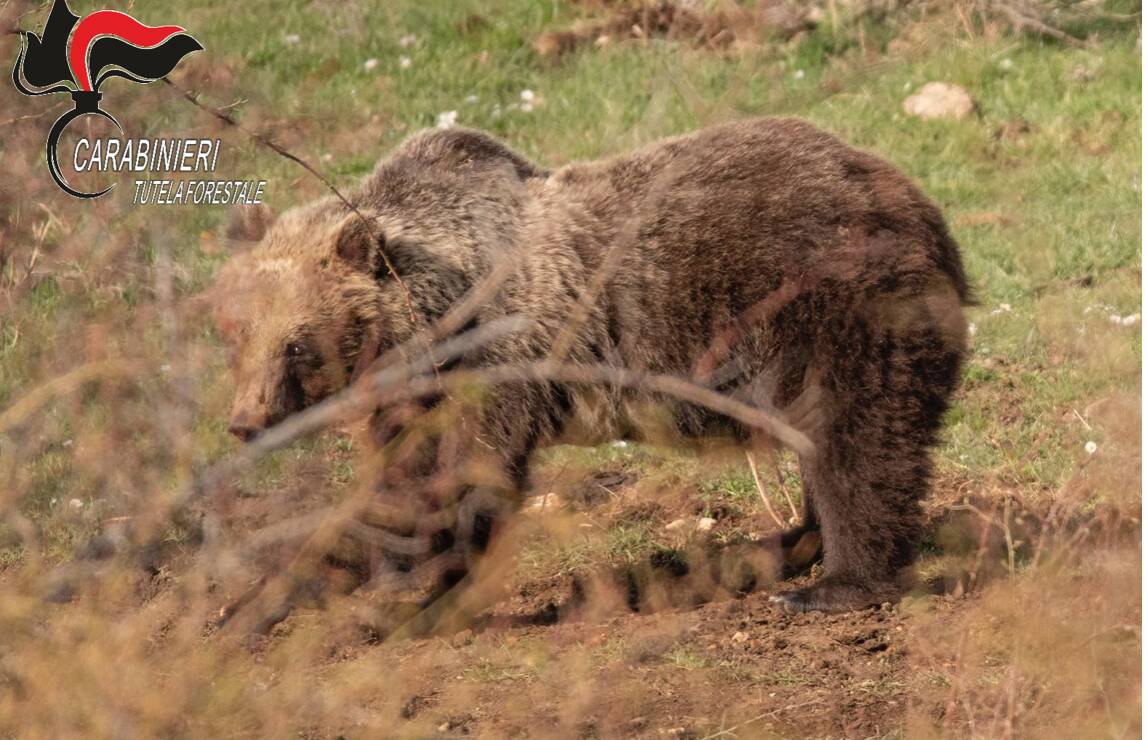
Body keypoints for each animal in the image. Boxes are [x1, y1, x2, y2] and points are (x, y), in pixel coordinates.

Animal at [208, 117, 968, 619]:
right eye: (235, 333)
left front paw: (419, 593)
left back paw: (835, 583)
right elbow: (401, 484)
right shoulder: (411, 395)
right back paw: (780, 543)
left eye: (298, 343)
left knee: (856, 439)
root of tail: (916, 201)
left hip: (835, 304)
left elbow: (461, 481)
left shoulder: (499, 366)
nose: (244, 420)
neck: (434, 322)